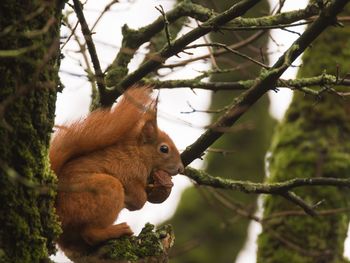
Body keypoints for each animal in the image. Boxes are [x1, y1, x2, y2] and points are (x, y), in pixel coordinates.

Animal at [50, 86, 185, 254]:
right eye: (164, 149)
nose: (181, 168)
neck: (138, 154)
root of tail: (59, 216)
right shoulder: (126, 170)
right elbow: (139, 199)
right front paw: (135, 200)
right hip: (107, 188)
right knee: (90, 234)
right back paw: (117, 230)